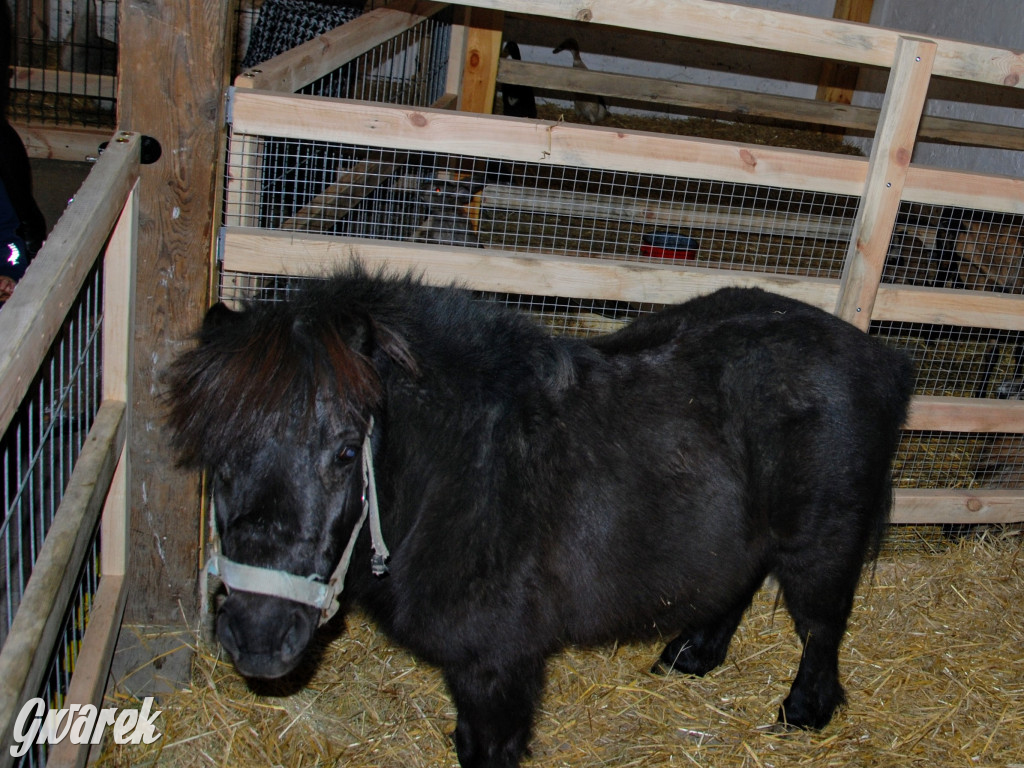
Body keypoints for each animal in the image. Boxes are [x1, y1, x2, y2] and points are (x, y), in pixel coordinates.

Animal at [165, 266, 913, 768]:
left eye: (347, 451)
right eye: (218, 453)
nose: (259, 638)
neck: (459, 475)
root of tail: (879, 356)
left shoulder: (496, 669)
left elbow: (487, 750)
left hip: (820, 545)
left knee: (821, 627)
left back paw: (804, 711)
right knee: (738, 581)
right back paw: (692, 654)